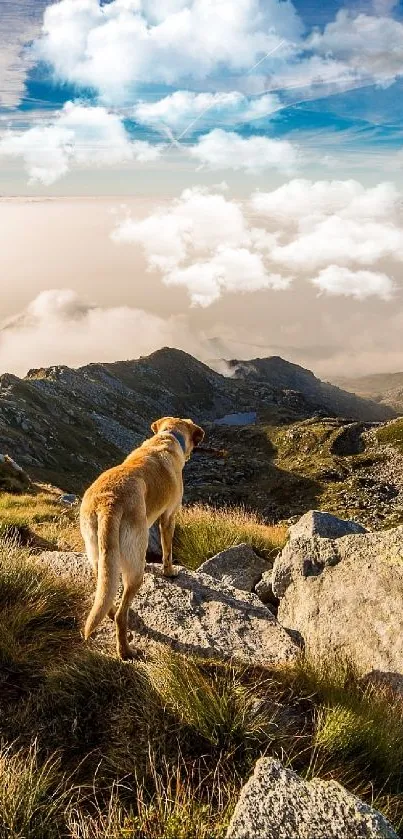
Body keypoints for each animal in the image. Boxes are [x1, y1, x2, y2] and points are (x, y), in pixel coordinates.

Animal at [79, 416, 205, 660]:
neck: (167, 436)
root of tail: (109, 502)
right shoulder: (169, 517)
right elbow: (167, 550)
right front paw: (169, 572)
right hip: (135, 569)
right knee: (122, 614)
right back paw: (126, 650)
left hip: (98, 553)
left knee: (105, 592)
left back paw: (109, 615)